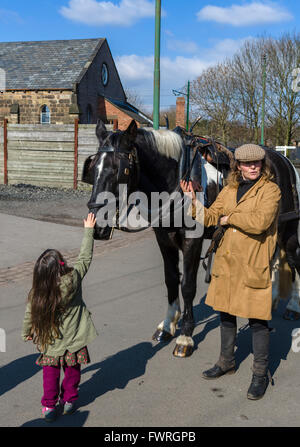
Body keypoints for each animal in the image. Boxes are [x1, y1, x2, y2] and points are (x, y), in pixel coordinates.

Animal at [82, 120, 300, 356]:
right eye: (92, 168)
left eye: (121, 170)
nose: (97, 225)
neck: (176, 178)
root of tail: (284, 160)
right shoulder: (164, 238)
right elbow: (170, 280)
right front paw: (168, 325)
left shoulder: (192, 241)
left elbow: (187, 285)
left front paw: (185, 336)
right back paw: (272, 299)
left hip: (288, 230)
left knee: (293, 259)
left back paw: (293, 306)